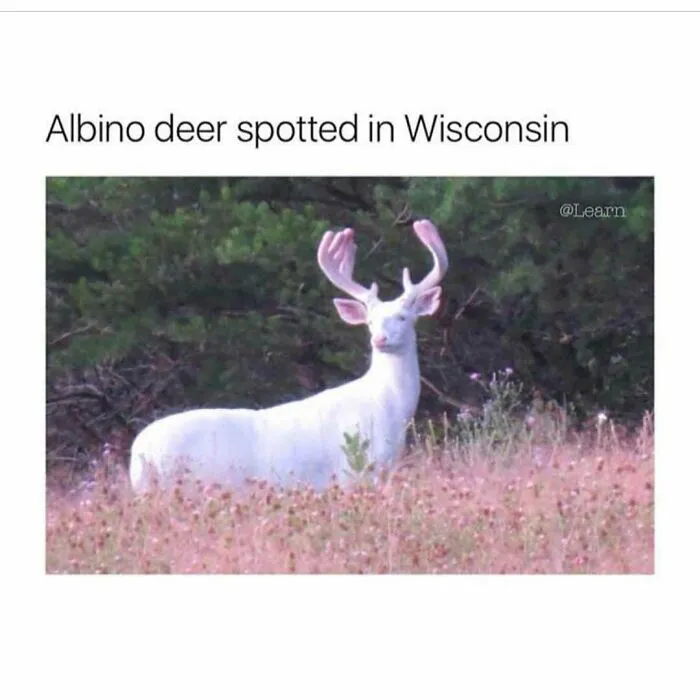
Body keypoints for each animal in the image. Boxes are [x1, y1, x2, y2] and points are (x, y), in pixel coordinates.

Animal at [129, 219, 448, 492]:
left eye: (404, 317)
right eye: (370, 321)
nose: (379, 339)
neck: (389, 407)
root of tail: (140, 452)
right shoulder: (353, 472)